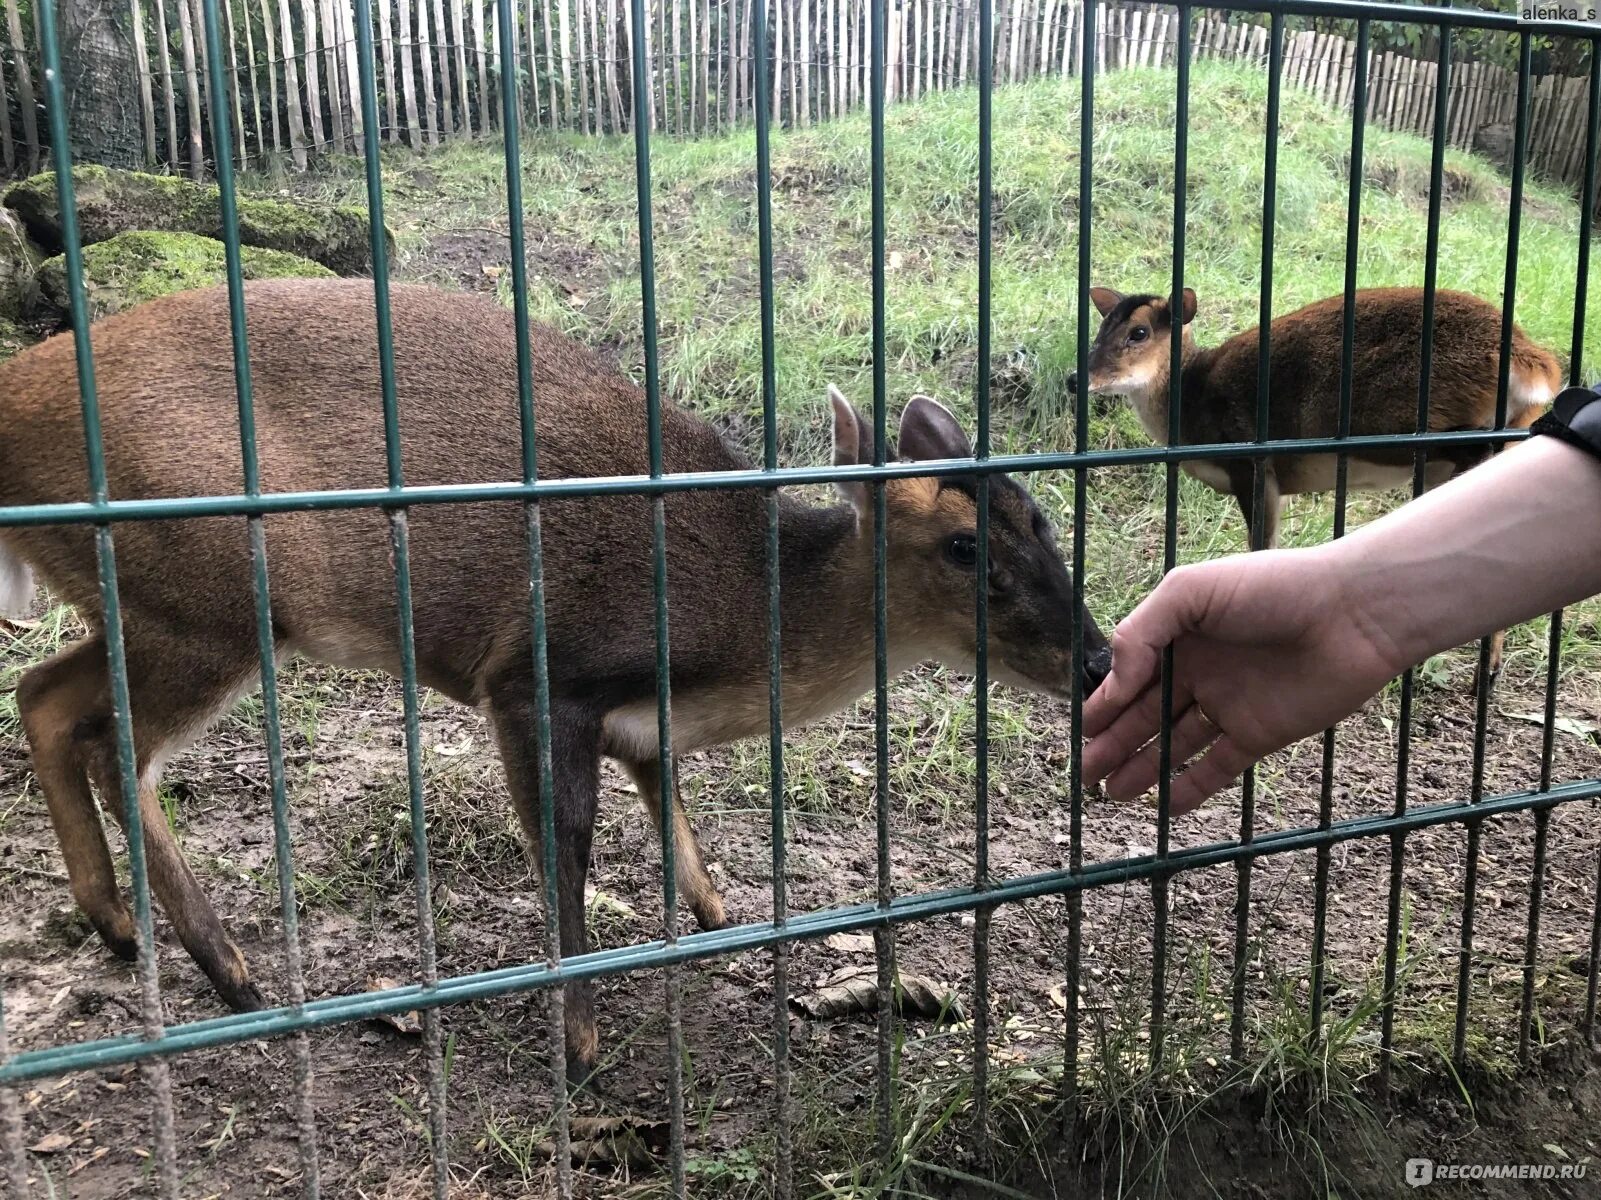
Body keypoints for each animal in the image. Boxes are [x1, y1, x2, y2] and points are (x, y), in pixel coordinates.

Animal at [0, 280, 1107, 1081]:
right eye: (964, 547)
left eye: (1040, 515)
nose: (1096, 658)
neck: (742, 608)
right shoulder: (534, 675)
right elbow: (565, 851)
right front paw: (580, 1049)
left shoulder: (640, 725)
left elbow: (672, 818)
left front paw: (721, 923)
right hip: (213, 592)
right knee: (115, 744)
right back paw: (231, 974)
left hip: (159, 605)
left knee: (42, 694)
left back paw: (116, 926)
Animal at [1069, 284, 1556, 691]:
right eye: (1101, 327)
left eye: (1139, 332)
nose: (1078, 379)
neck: (1191, 404)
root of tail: (1532, 360)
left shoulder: (1252, 463)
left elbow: (1261, 546)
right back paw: (1484, 671)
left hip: (1399, 425)